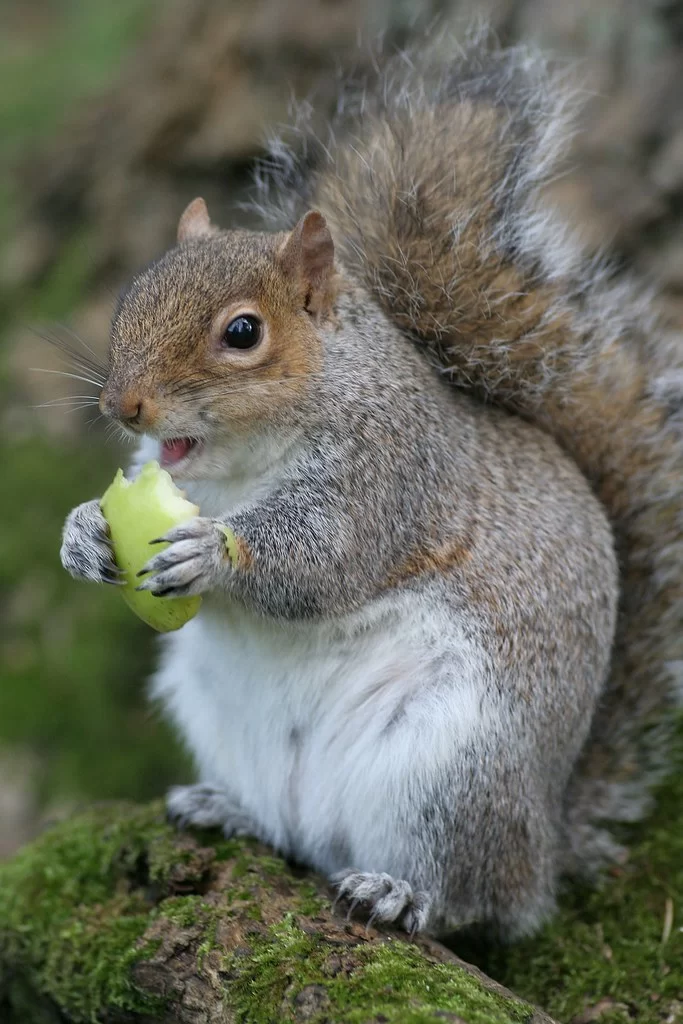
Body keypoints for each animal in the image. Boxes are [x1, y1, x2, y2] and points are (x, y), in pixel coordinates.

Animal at [58, 36, 683, 937]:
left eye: (242, 332)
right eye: (131, 298)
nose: (121, 404)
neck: (238, 464)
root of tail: (544, 842)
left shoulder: (388, 473)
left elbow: (325, 558)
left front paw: (213, 551)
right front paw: (82, 534)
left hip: (447, 767)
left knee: (470, 897)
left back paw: (402, 892)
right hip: (221, 718)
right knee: (295, 837)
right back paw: (230, 810)